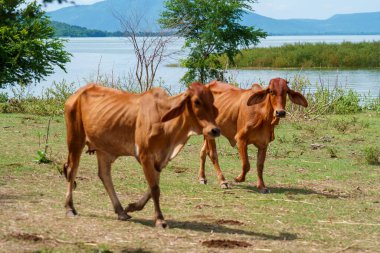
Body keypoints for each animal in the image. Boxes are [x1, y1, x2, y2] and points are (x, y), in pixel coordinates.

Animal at [63, 82, 220, 227]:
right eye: (197, 101)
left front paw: (132, 207)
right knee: (72, 170)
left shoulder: (160, 160)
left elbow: (153, 187)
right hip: (75, 139)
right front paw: (160, 220)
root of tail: (76, 94)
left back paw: (121, 211)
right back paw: (70, 208)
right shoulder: (145, 155)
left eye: (212, 101)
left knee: (104, 175)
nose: (215, 130)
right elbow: (155, 188)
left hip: (103, 149)